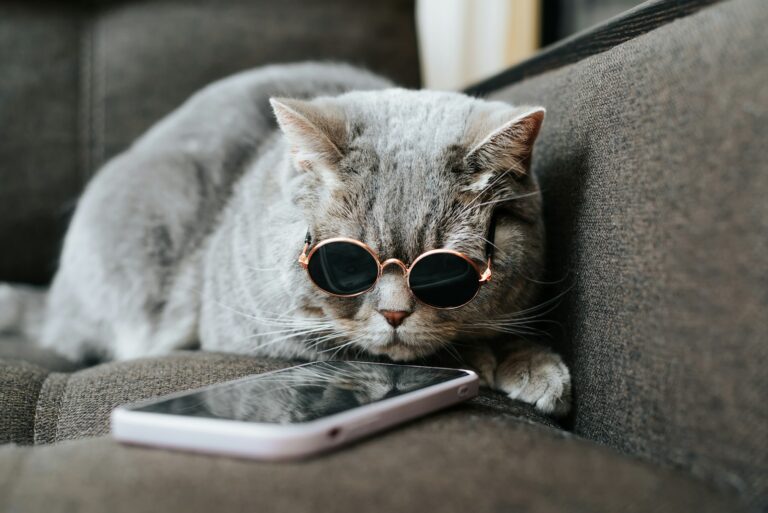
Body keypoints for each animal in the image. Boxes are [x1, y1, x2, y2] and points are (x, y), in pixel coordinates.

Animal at [1, 63, 568, 416]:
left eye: (447, 271)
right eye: (345, 266)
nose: (394, 313)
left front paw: (532, 365)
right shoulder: (258, 328)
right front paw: (489, 359)